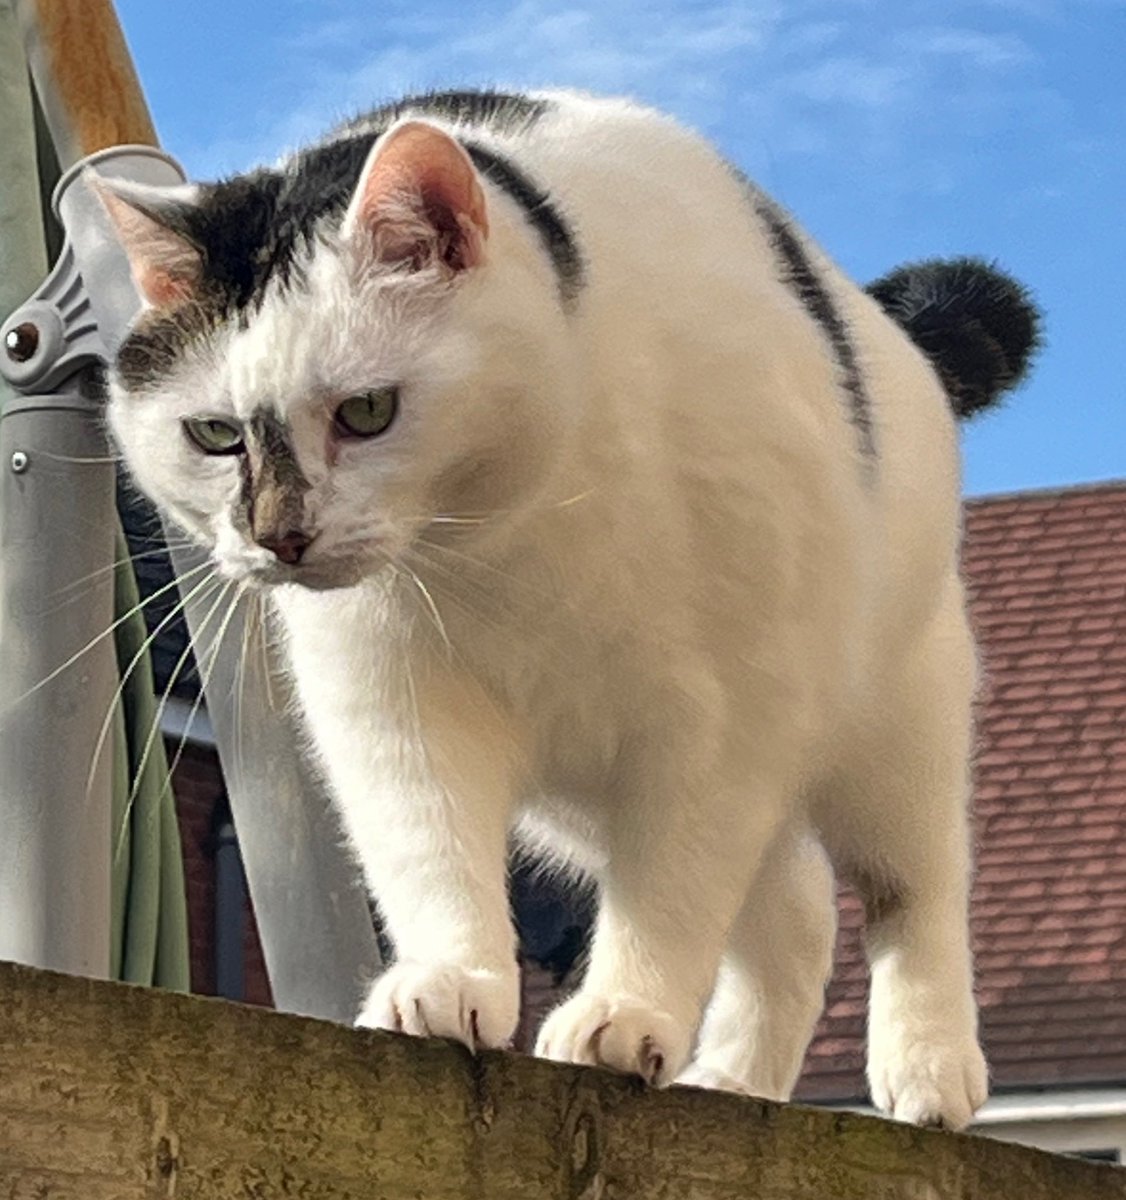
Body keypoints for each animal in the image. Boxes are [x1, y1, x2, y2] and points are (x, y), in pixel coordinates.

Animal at [94, 88, 1037, 1128]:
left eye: (368, 413)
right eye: (214, 434)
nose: (279, 537)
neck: (512, 527)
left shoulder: (722, 719)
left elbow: (673, 890)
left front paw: (625, 1014)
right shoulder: (393, 703)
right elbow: (428, 844)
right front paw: (453, 979)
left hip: (893, 722)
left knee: (912, 888)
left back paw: (929, 1067)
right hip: (596, 803)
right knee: (793, 909)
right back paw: (731, 1076)